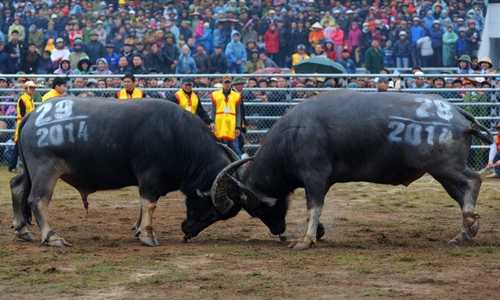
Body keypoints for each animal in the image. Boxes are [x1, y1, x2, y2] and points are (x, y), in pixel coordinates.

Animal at [10, 97, 248, 247]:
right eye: (212, 214)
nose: (187, 231)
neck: (176, 136)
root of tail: (33, 114)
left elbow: (144, 206)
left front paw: (138, 228)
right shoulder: (149, 174)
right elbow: (149, 203)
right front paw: (148, 235)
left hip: (30, 171)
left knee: (17, 186)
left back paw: (22, 231)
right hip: (44, 169)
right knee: (38, 200)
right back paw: (52, 237)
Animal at [211, 90, 492, 250]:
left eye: (257, 209)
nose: (277, 231)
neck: (294, 134)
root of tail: (454, 111)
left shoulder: (314, 176)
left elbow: (313, 208)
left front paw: (305, 241)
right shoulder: (320, 181)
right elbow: (314, 211)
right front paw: (314, 233)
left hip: (444, 167)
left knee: (473, 181)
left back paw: (469, 222)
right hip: (442, 172)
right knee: (462, 195)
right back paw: (465, 234)